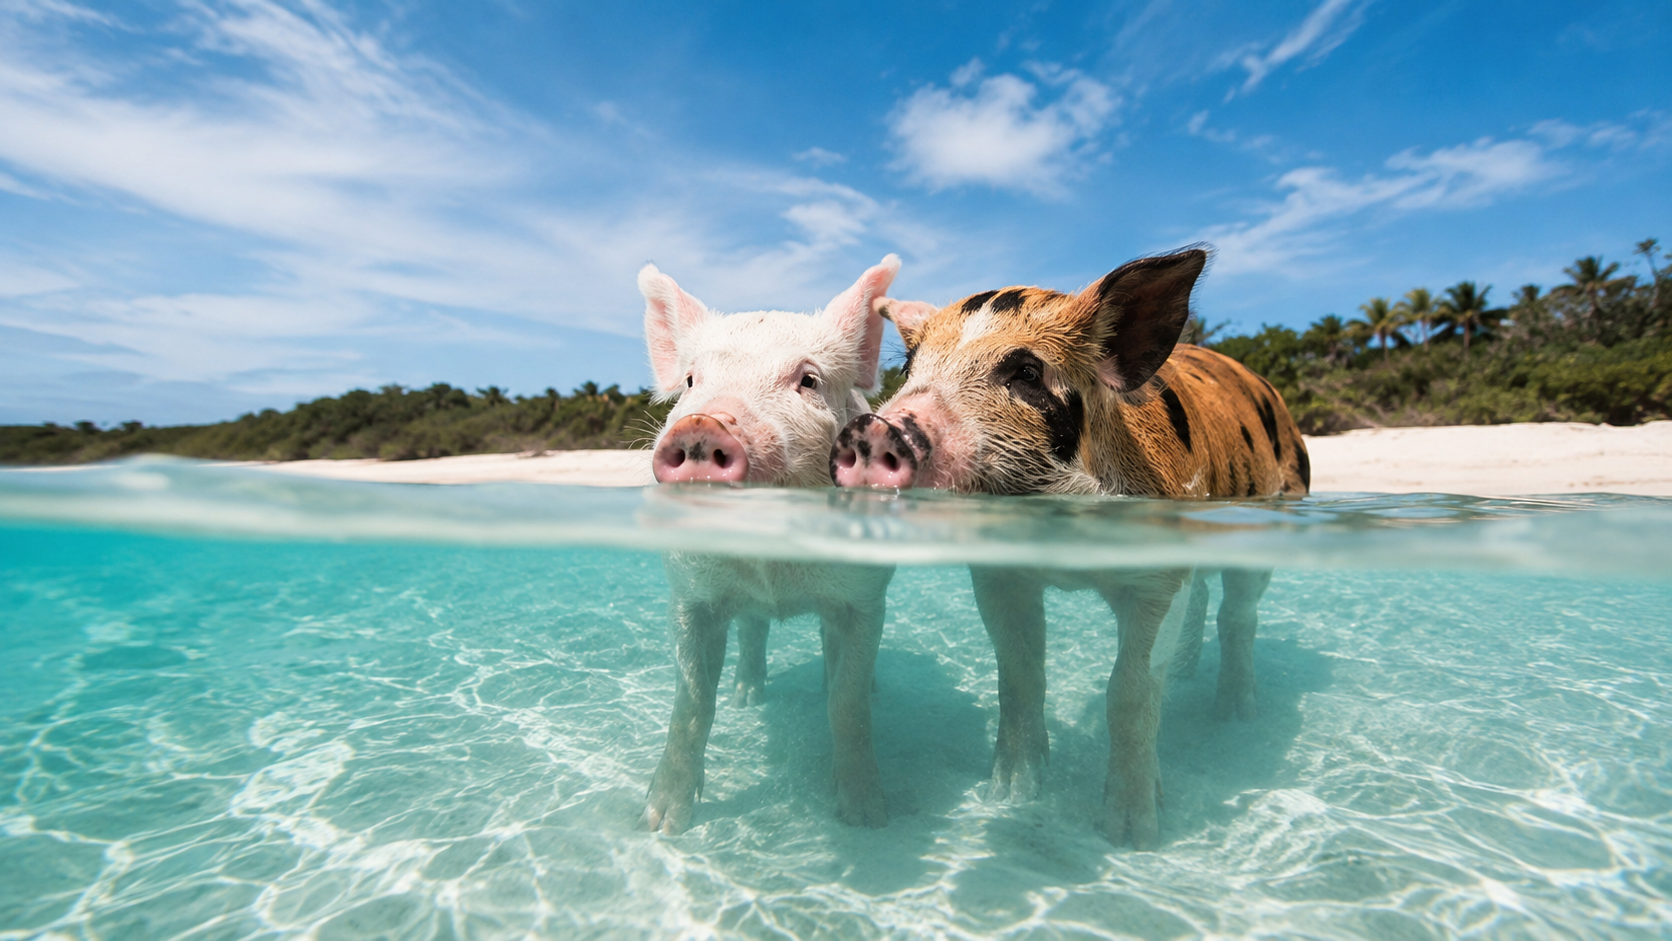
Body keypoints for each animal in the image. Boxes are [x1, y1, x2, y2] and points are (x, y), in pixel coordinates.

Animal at [637, 255, 900, 834]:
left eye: (808, 380)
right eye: (691, 380)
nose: (701, 423)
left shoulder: (865, 597)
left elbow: (846, 703)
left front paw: (866, 815)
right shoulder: (689, 596)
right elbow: (692, 704)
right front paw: (660, 823)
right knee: (753, 628)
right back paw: (748, 695)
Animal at [830, 247, 1310, 848]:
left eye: (1027, 372)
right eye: (908, 369)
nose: (873, 427)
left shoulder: (1158, 574)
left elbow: (1128, 691)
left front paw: (1133, 833)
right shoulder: (1000, 576)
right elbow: (1018, 674)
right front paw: (1009, 796)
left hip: (1276, 509)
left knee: (1239, 614)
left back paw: (1236, 715)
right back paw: (1185, 677)